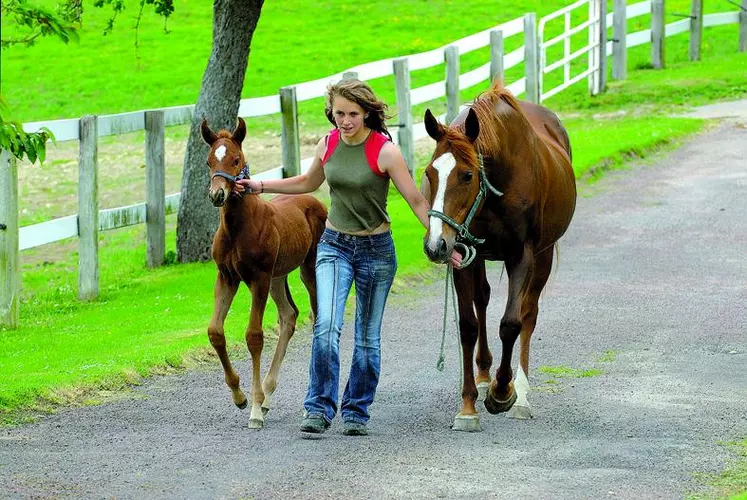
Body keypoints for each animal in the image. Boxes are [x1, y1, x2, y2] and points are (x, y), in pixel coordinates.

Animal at [202, 118, 328, 430]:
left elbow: (254, 336)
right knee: (289, 315)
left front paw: (255, 410)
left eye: (236, 159)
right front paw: (240, 396)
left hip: (307, 268)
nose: (217, 195)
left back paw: (304, 402)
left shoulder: (257, 277)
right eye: (209, 161)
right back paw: (270, 394)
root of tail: (316, 202)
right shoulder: (227, 277)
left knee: (316, 316)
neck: (237, 228)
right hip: (277, 277)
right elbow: (215, 332)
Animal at [420, 82, 580, 430]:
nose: (435, 245)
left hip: (544, 255)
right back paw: (483, 376)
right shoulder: (462, 254)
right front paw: (468, 407)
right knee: (482, 299)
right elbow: (467, 326)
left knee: (529, 313)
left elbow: (511, 323)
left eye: (467, 175)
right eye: (429, 173)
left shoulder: (523, 255)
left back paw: (520, 396)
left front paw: (503, 392)